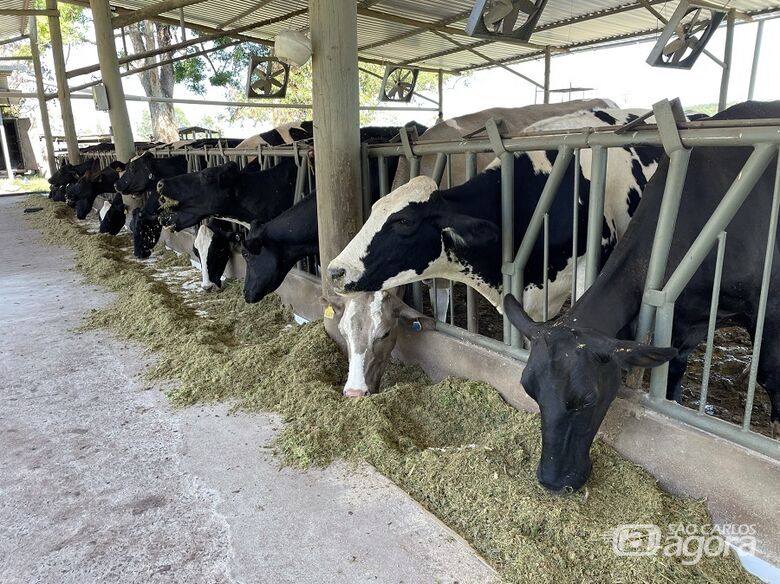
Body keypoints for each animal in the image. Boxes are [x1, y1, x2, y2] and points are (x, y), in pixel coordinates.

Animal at [503, 100, 780, 493]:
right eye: (529, 389)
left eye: (587, 399)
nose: (552, 481)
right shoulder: (683, 315)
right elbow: (674, 370)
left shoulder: (770, 306)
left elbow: (770, 374)